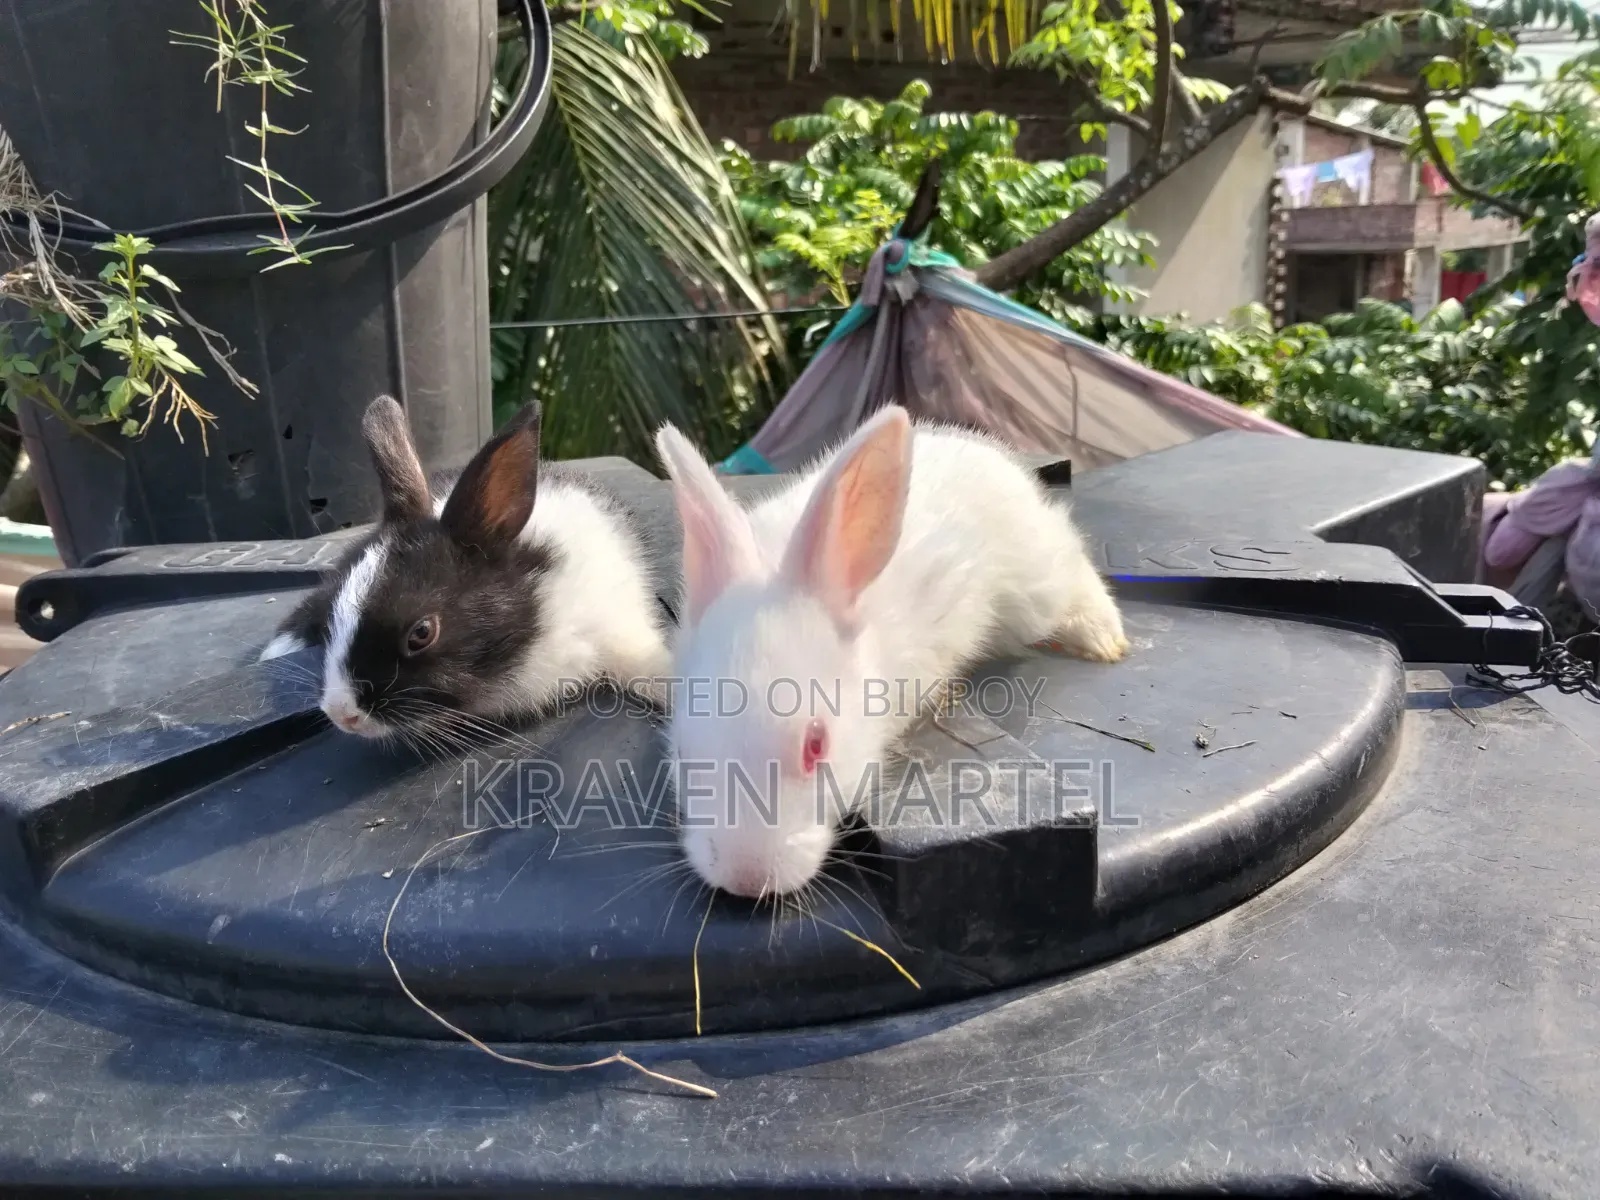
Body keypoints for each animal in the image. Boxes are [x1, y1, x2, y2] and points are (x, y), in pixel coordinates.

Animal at [654, 403, 1127, 900]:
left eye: (816, 746)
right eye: (683, 753)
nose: (745, 879)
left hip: (1034, 588)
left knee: (1072, 563)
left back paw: (1103, 639)